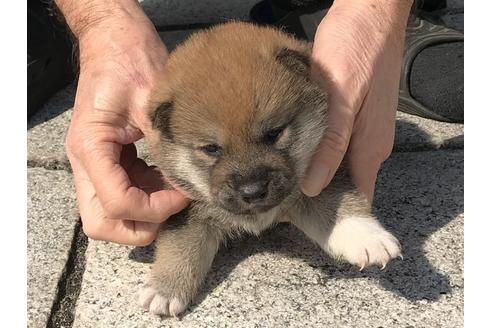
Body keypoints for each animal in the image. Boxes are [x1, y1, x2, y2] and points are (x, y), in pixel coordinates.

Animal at [138, 21, 400, 316]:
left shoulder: (321, 176)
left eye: (274, 133)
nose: (252, 191)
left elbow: (337, 207)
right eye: (212, 149)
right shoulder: (187, 206)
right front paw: (164, 289)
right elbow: (181, 245)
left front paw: (368, 239)